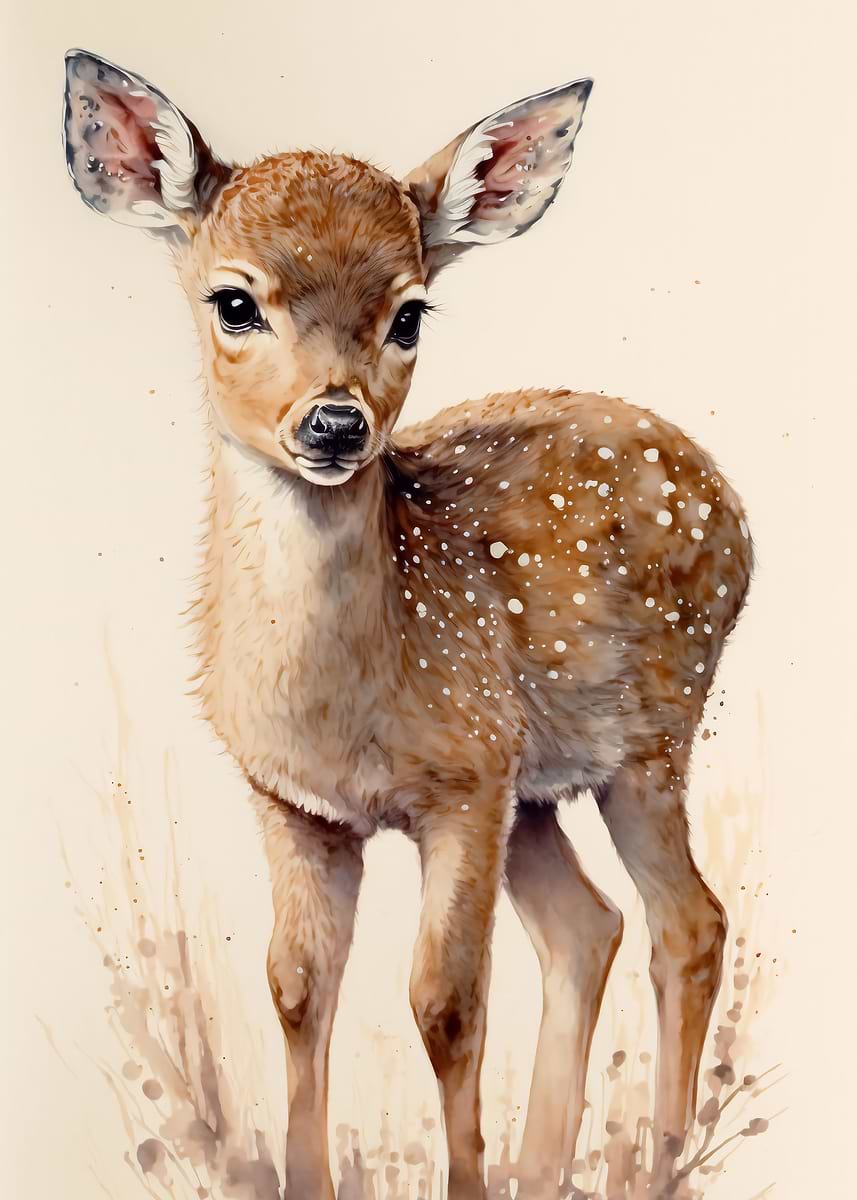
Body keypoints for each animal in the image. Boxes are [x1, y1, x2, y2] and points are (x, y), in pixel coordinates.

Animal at [62, 48, 753, 1200]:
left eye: (411, 315)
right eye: (233, 301)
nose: (336, 422)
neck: (342, 707)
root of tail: (733, 507)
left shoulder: (461, 787)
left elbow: (446, 1004)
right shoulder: (291, 802)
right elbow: (296, 986)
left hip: (649, 736)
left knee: (686, 921)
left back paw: (657, 1162)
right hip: (538, 786)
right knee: (587, 929)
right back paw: (545, 1169)